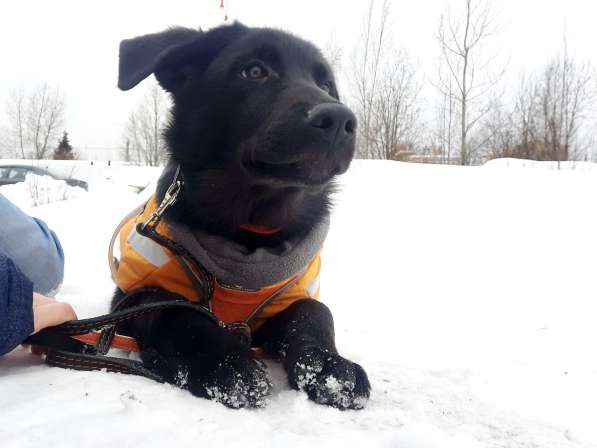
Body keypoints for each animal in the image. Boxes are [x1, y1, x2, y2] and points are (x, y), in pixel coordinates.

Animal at [112, 23, 368, 410]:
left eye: (326, 84)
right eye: (254, 71)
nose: (339, 119)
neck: (249, 232)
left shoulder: (290, 294)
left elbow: (315, 310)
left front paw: (329, 366)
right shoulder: (128, 297)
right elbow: (175, 312)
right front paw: (224, 363)